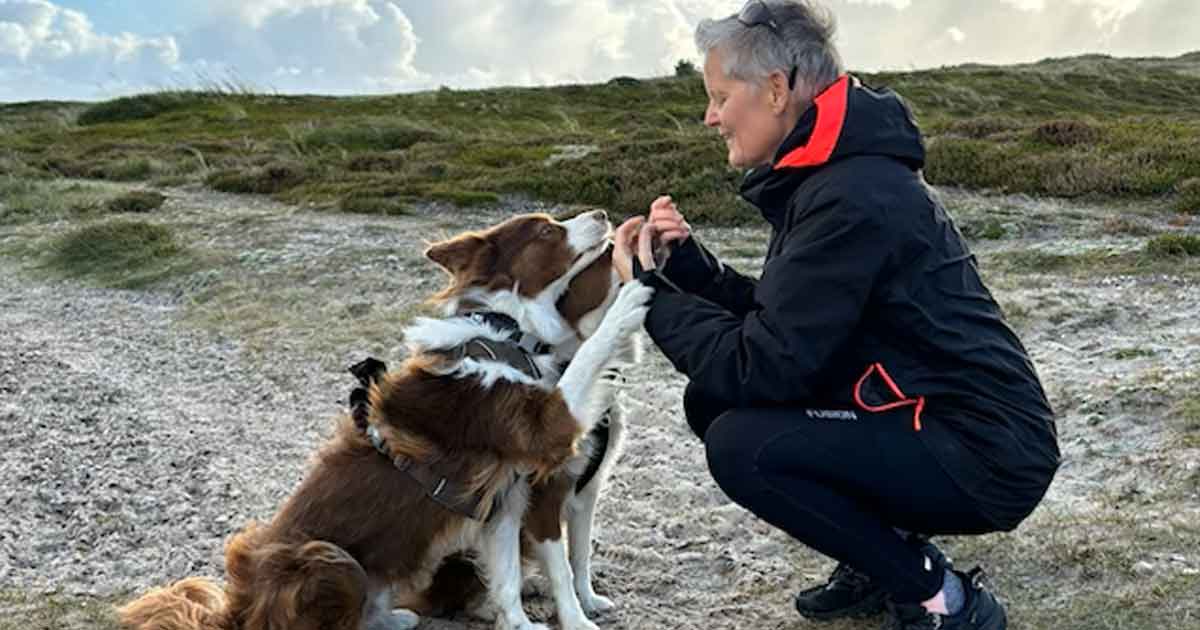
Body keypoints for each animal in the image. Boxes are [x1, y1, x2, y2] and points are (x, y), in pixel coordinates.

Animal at [115, 211, 652, 628]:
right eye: (545, 230)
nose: (604, 214)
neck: (507, 333)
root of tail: (238, 612)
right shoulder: (543, 429)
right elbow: (592, 351)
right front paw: (633, 294)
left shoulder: (506, 498)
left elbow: (507, 580)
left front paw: (521, 623)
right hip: (329, 560)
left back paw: (395, 617)